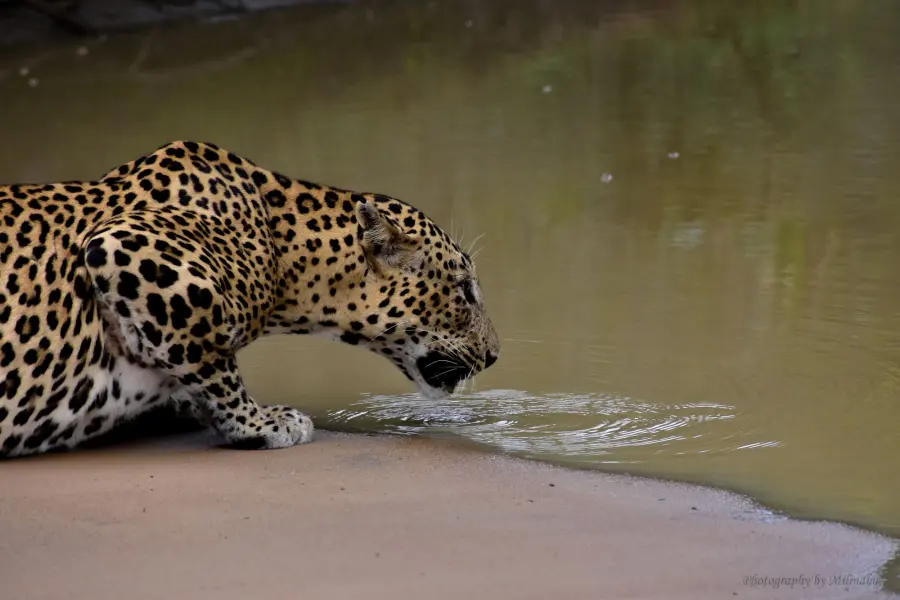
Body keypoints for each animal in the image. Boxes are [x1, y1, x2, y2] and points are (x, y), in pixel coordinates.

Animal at [0, 141, 499, 458]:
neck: (285, 256)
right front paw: (260, 422)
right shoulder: (125, 246)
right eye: (464, 290)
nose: (495, 355)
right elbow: (211, 359)